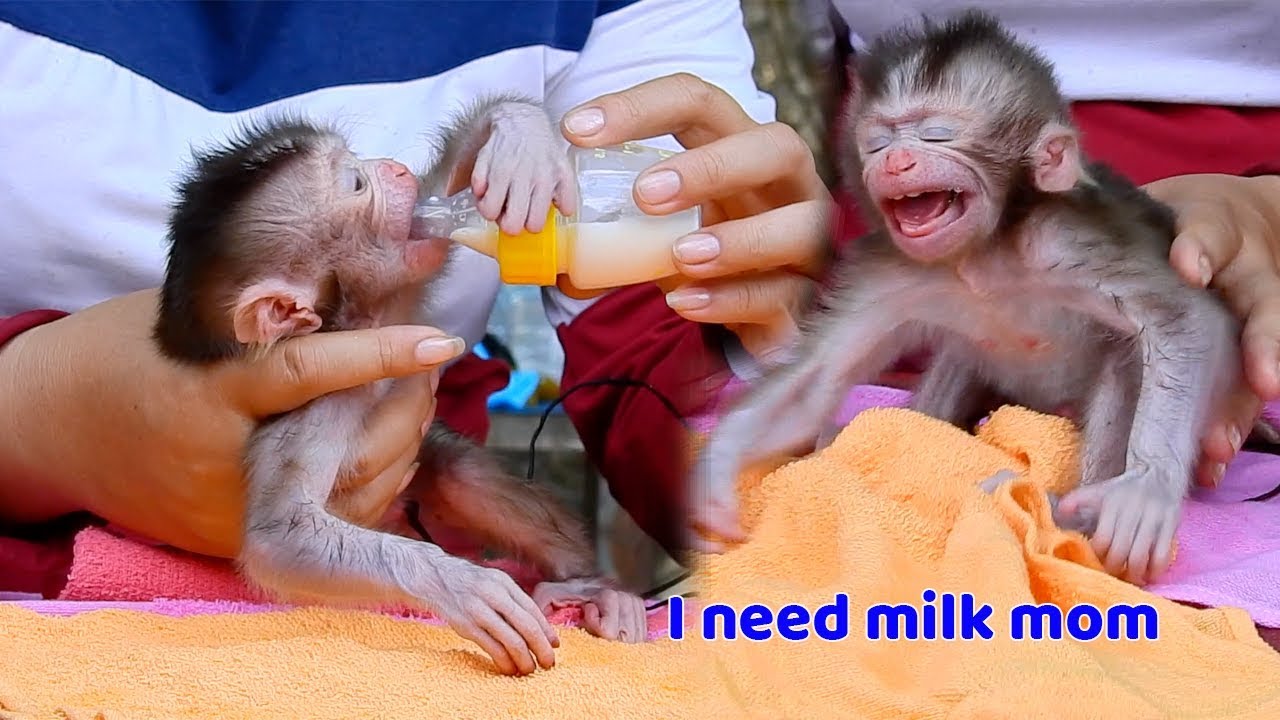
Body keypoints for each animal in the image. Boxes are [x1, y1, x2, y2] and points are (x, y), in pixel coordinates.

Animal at [152, 97, 646, 677]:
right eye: (357, 183)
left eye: (360, 163)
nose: (394, 167)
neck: (357, 319)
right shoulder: (316, 404)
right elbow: (281, 535)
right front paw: (461, 584)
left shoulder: (403, 283)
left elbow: (448, 182)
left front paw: (519, 139)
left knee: (459, 473)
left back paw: (593, 588)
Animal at [687, 10, 1251, 586]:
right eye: (879, 143)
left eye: (938, 136)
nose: (898, 162)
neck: (980, 256)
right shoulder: (888, 272)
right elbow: (817, 376)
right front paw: (720, 462)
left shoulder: (1066, 239)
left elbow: (1185, 318)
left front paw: (1145, 489)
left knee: (1125, 360)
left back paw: (1068, 512)